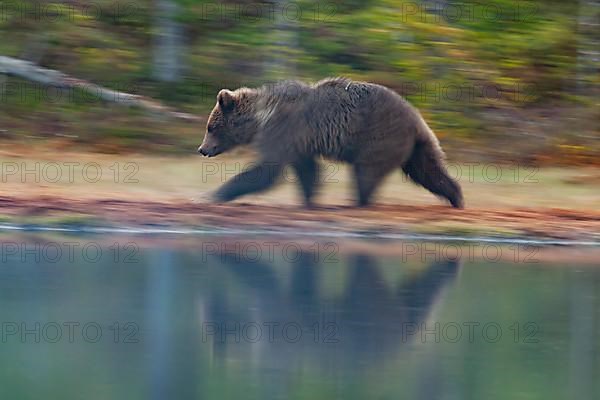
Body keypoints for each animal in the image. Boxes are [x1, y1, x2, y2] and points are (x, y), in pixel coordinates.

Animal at [197, 78, 464, 209]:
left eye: (211, 127)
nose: (202, 149)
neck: (261, 117)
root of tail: (418, 120)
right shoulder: (299, 142)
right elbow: (307, 170)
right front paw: (309, 200)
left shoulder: (283, 131)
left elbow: (266, 170)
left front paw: (211, 194)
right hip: (414, 146)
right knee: (428, 171)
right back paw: (456, 197)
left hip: (379, 137)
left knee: (366, 172)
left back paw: (358, 202)